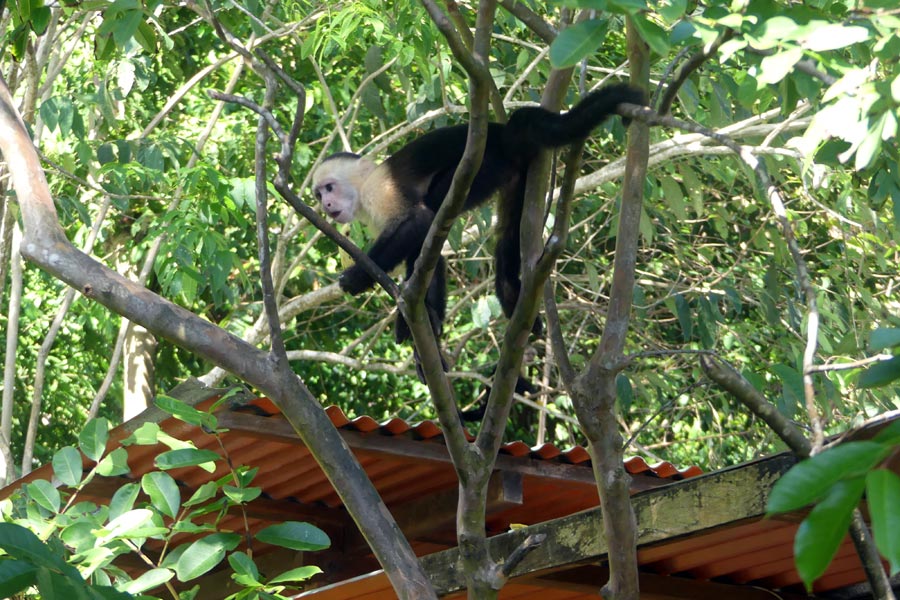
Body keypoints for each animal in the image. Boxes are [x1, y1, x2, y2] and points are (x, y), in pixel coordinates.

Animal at [312, 83, 644, 404]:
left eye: (329, 188)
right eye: (318, 194)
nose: (326, 205)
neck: (363, 188)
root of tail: (502, 133)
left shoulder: (380, 193)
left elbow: (420, 221)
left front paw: (357, 278)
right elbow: (427, 255)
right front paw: (426, 329)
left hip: (485, 166)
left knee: (437, 204)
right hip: (515, 173)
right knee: (507, 233)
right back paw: (510, 294)